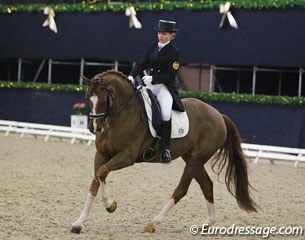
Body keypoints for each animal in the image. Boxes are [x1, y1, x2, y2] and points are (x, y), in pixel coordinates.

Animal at [70, 70, 256, 234]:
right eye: (87, 98)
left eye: (102, 99)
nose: (95, 129)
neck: (120, 114)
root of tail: (219, 115)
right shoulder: (101, 155)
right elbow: (95, 181)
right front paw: (79, 223)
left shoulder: (127, 157)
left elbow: (102, 172)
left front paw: (110, 205)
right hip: (192, 159)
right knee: (207, 186)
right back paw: (206, 224)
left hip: (196, 160)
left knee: (181, 190)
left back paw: (153, 223)